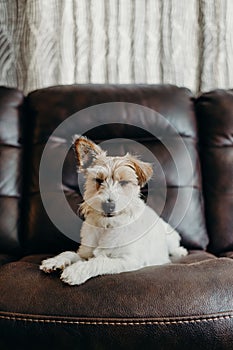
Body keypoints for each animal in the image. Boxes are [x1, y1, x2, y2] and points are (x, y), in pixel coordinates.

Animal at [39, 135, 186, 286]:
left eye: (123, 182)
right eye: (98, 180)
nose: (108, 206)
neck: (107, 226)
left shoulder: (128, 260)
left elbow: (99, 261)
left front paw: (76, 270)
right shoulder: (84, 253)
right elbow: (70, 253)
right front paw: (54, 261)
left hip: (170, 237)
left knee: (175, 247)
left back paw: (180, 252)